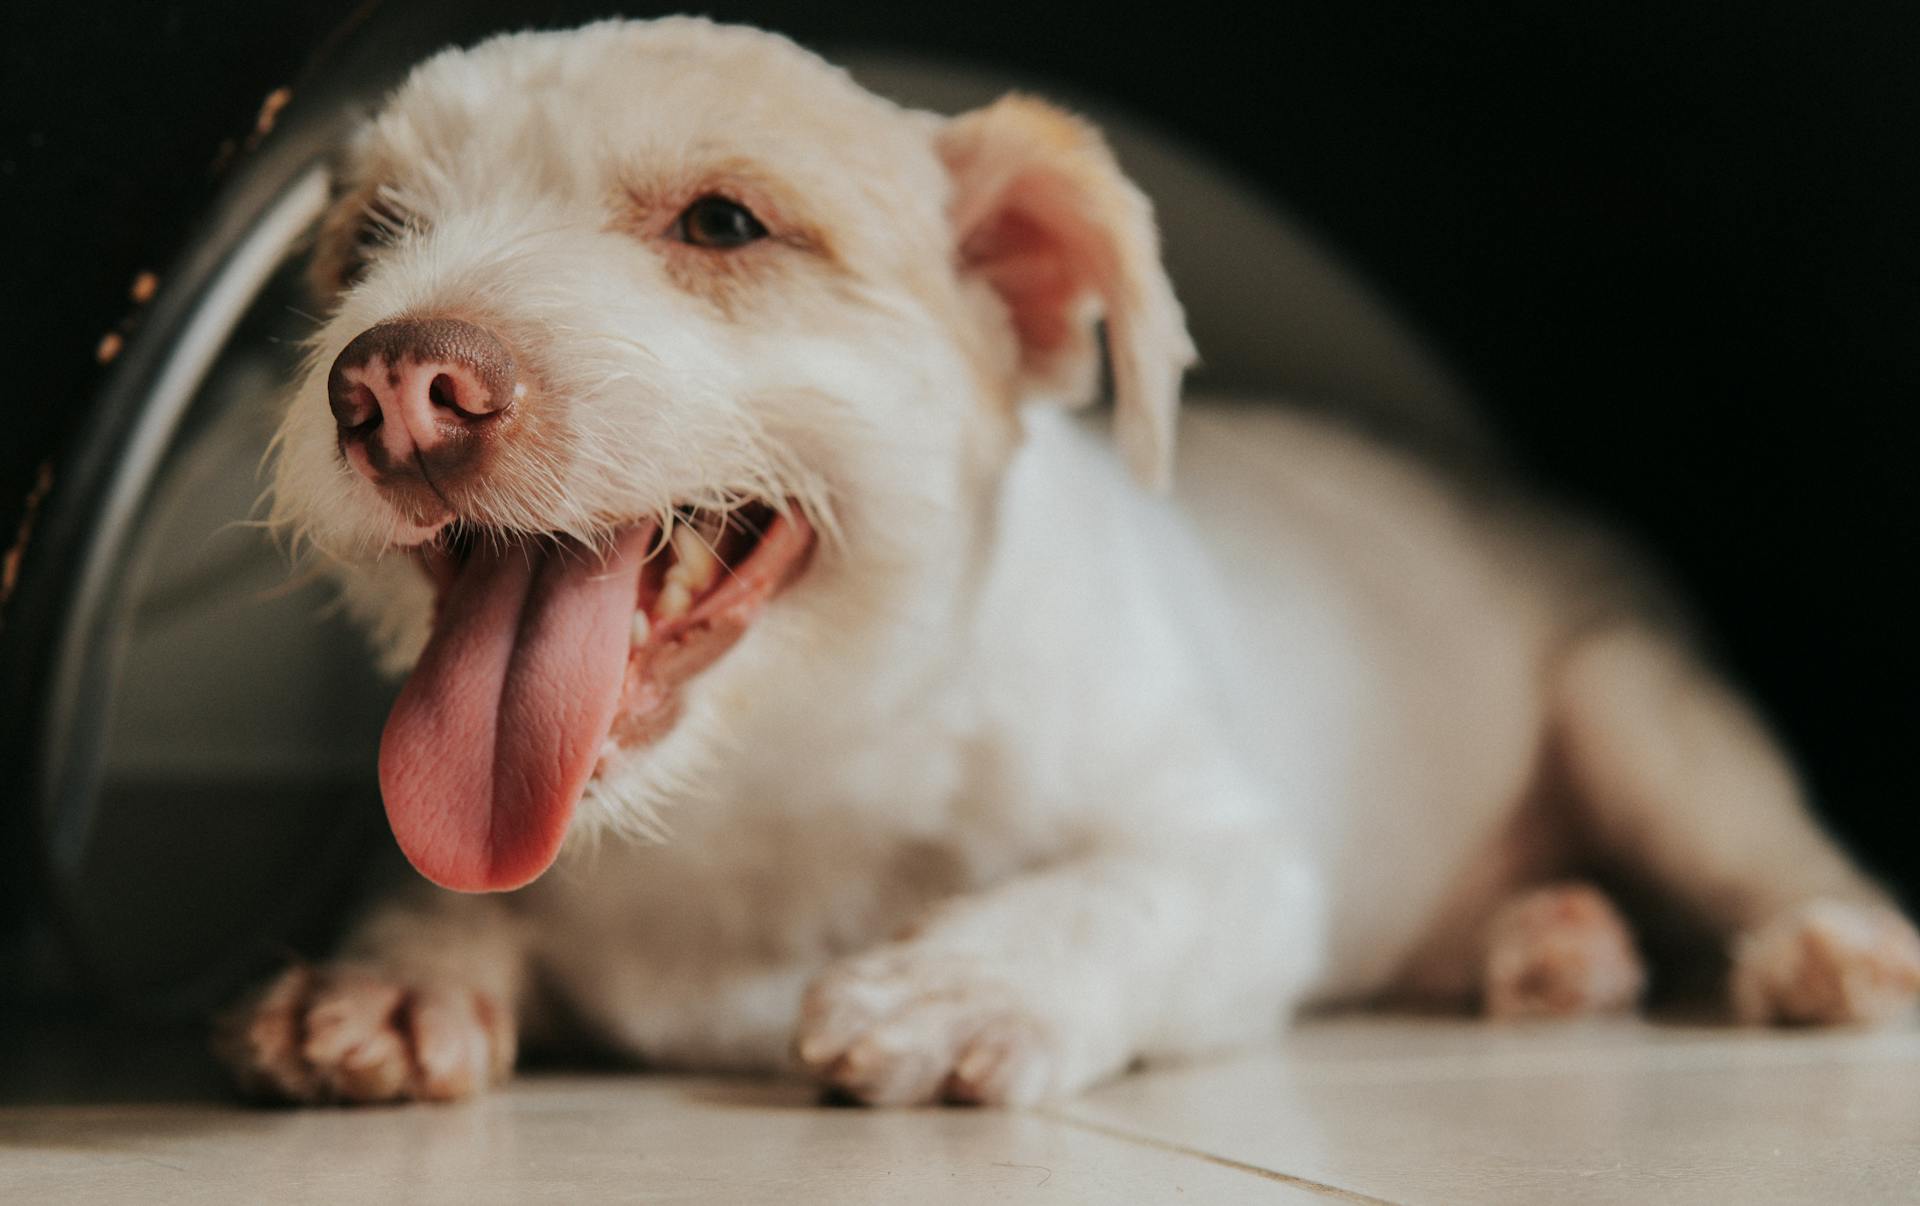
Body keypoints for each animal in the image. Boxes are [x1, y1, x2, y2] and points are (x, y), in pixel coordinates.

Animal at [224, 18, 1920, 1106]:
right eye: (369, 237)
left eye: (724, 220)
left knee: (1771, 851)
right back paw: (1550, 941)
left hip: (1642, 713)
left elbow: (1115, 893)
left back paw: (1823, 942)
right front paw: (392, 972)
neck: (773, 802)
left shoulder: (1238, 863)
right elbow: (434, 888)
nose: (397, 386)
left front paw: (966, 982)